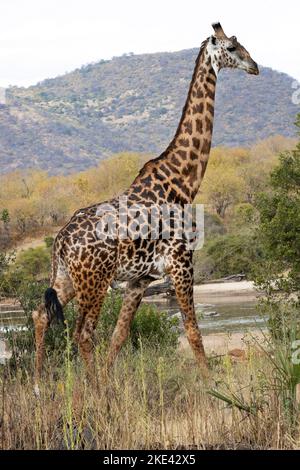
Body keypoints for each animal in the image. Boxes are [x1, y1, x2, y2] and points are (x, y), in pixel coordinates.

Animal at [32, 23, 258, 388]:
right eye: (232, 48)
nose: (255, 66)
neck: (183, 181)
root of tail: (61, 241)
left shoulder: (140, 280)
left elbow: (120, 336)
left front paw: (110, 380)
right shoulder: (182, 264)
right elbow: (193, 332)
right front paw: (212, 386)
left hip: (66, 278)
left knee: (42, 314)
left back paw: (41, 386)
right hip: (94, 282)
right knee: (83, 333)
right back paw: (92, 391)